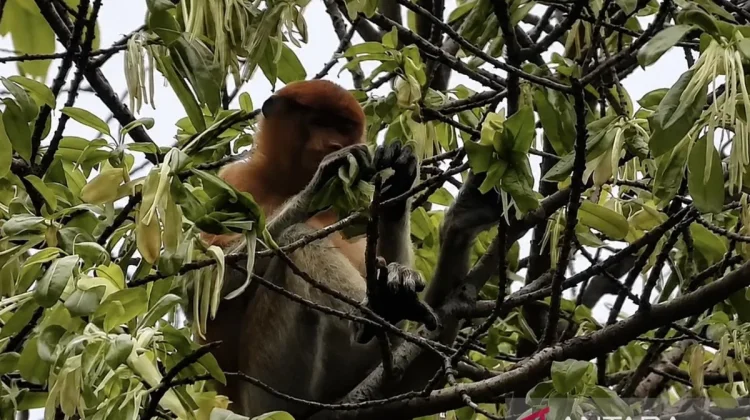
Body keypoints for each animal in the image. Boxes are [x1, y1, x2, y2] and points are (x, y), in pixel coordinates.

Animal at [193, 80, 439, 418]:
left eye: (343, 127)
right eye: (319, 122)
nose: (334, 144)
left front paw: (399, 179)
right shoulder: (231, 179)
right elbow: (203, 286)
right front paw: (320, 183)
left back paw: (394, 301)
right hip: (269, 385)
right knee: (296, 236)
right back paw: (377, 309)